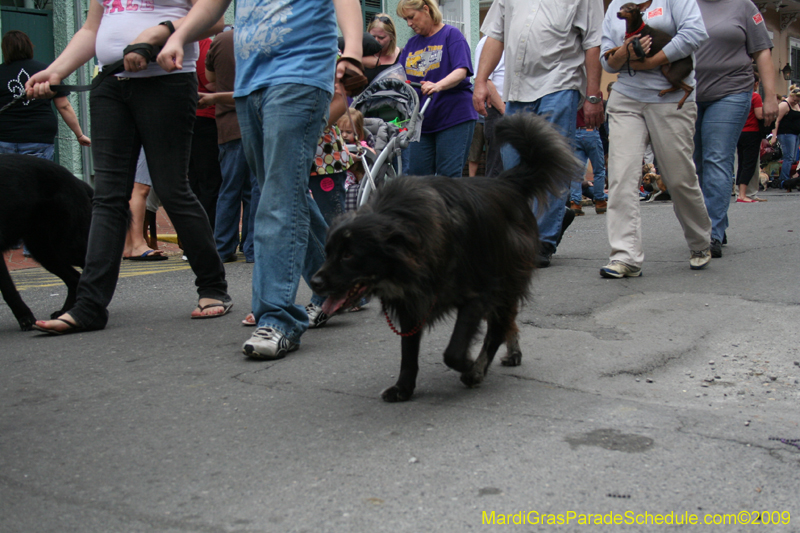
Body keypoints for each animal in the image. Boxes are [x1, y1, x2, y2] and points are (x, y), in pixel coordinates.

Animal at [0, 152, 93, 330]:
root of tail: (76, 180)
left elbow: (8, 289)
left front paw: (25, 318)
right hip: (44, 251)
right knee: (74, 278)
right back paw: (65, 313)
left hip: (66, 247)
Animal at [310, 114, 580, 402]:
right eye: (328, 252)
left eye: (349, 254)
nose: (315, 282)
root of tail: (506, 183)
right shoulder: (411, 304)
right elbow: (408, 352)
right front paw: (404, 388)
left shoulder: (477, 295)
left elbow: (453, 351)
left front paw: (471, 368)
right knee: (507, 322)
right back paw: (512, 352)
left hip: (505, 279)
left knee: (497, 328)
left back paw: (483, 365)